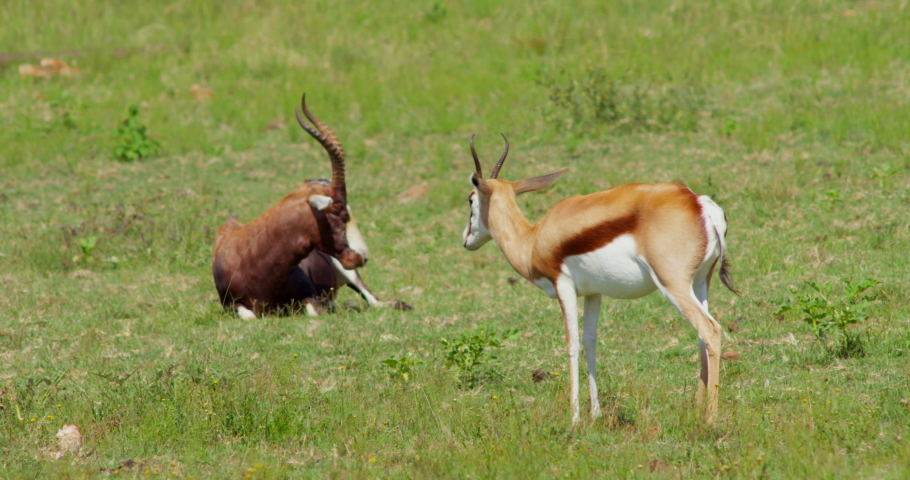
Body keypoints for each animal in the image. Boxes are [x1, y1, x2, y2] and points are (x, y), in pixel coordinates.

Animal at [212, 94, 367, 319]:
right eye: (343, 213)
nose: (363, 256)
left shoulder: (310, 297)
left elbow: (314, 312)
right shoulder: (230, 305)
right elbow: (249, 316)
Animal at [462, 135, 738, 425]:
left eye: (470, 200)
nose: (466, 238)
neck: (534, 239)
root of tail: (699, 203)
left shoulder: (563, 286)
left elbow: (572, 345)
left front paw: (574, 419)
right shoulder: (594, 293)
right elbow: (590, 342)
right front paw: (595, 413)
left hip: (673, 284)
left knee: (711, 330)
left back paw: (710, 418)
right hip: (700, 282)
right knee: (702, 336)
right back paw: (696, 409)